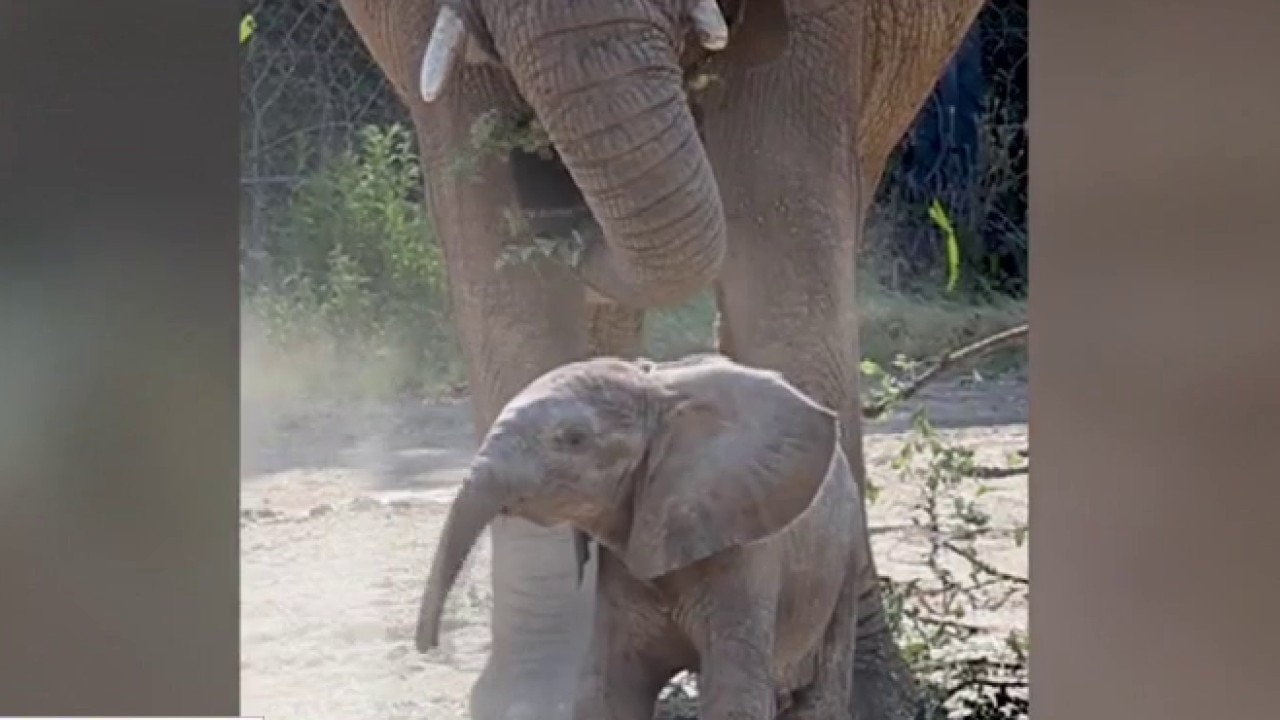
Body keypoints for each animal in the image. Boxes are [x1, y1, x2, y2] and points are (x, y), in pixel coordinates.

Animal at [417, 354, 869, 719]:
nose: (428, 647)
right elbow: (608, 693)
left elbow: (733, 696)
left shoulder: (744, 548)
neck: (656, 390)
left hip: (844, 552)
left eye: (573, 439)